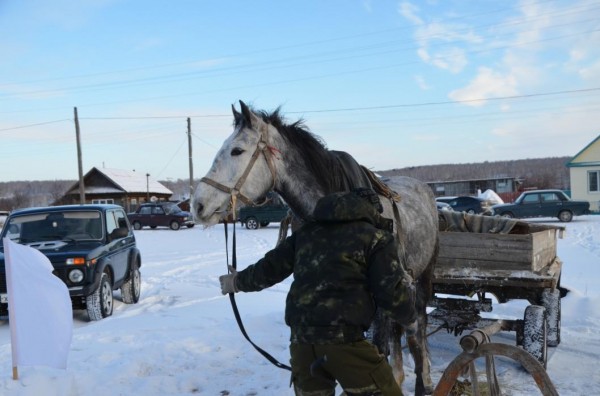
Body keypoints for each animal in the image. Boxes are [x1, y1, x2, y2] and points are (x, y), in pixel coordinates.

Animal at [195, 100, 438, 394]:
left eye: (237, 150)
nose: (197, 205)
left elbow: (385, 344)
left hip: (423, 276)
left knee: (419, 326)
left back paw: (425, 378)